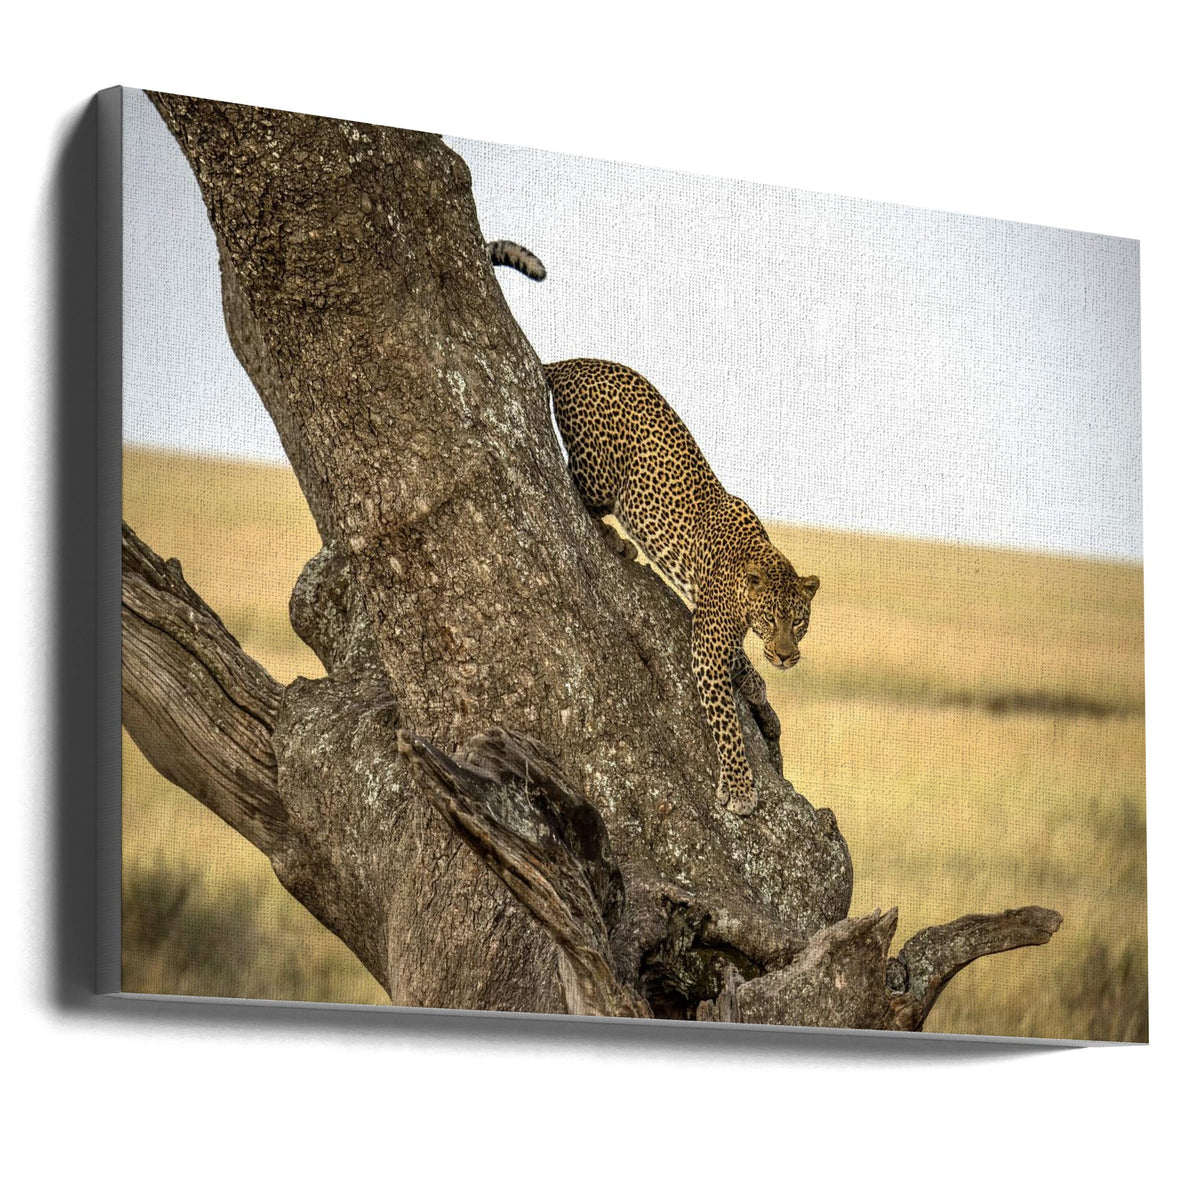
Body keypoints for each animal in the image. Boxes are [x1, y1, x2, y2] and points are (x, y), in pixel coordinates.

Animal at [544, 357, 820, 816]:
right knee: (576, 491)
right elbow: (726, 722)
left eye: (798, 623)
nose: (785, 657)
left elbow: (739, 658)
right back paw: (617, 541)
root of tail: (572, 363)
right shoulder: (708, 642)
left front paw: (754, 683)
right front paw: (740, 789)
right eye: (770, 618)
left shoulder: (711, 624)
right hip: (600, 473)